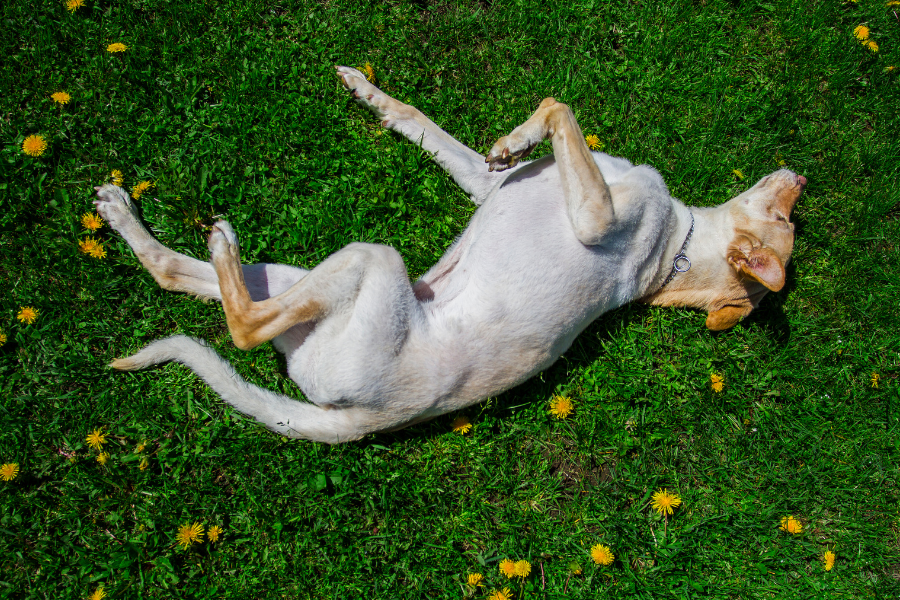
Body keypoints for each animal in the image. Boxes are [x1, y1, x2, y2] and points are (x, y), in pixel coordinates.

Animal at [95, 65, 804, 442]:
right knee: (174, 273)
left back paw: (218, 238)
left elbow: (561, 107)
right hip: (305, 278)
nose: (799, 175)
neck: (678, 243)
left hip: (372, 261)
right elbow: (429, 122)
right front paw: (371, 93)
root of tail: (359, 419)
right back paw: (124, 213)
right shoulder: (489, 185)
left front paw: (521, 132)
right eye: (785, 213)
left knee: (240, 325)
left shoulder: (593, 217)